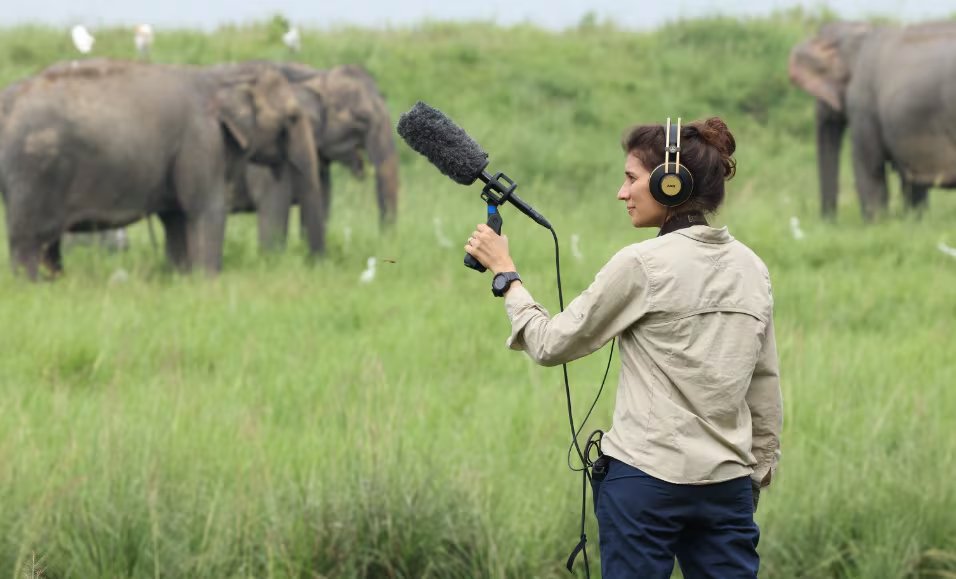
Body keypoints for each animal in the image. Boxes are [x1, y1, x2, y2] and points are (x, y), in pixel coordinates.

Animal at [0, 59, 325, 279]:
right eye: (293, 117)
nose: (313, 263)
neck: (219, 76)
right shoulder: (201, 140)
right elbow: (206, 210)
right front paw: (208, 282)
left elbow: (176, 217)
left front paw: (180, 279)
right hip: (34, 170)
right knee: (29, 240)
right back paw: (32, 287)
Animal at [788, 21, 956, 220]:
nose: (828, 222)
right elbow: (911, 180)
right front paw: (914, 222)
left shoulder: (863, 104)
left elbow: (868, 164)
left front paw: (877, 223)